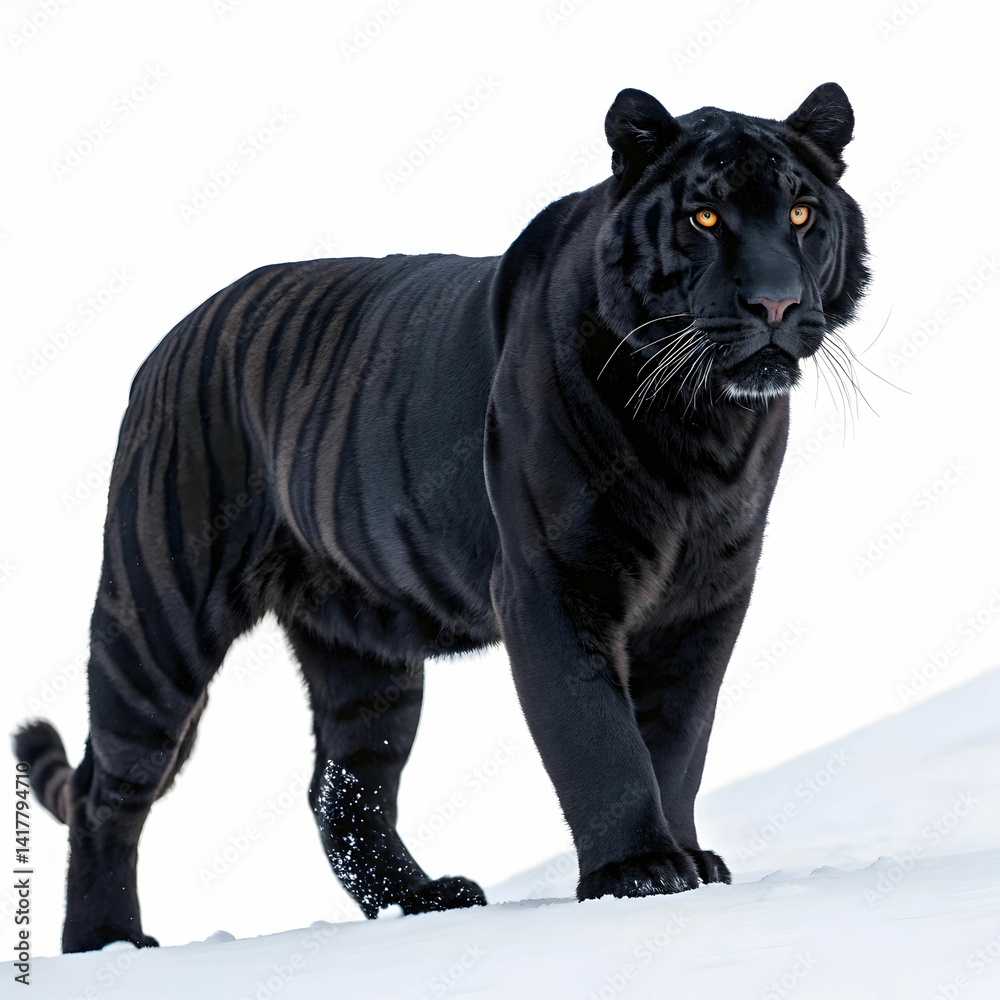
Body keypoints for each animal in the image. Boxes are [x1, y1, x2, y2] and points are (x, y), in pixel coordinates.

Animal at [14, 82, 868, 953]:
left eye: (800, 213)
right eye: (705, 217)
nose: (776, 301)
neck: (700, 426)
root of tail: (166, 344)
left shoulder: (708, 595)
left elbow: (677, 737)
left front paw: (685, 861)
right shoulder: (553, 583)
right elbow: (597, 733)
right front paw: (637, 871)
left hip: (366, 654)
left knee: (343, 788)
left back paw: (422, 900)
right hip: (159, 617)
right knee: (110, 791)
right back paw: (107, 940)